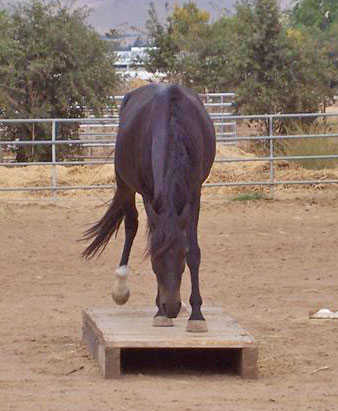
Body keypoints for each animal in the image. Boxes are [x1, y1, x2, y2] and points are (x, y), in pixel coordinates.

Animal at [82, 85, 215, 334]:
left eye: (181, 257)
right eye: (155, 260)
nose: (171, 306)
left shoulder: (194, 193)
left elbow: (194, 251)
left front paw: (196, 315)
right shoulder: (148, 195)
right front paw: (160, 313)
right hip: (124, 184)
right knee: (131, 225)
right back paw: (121, 287)